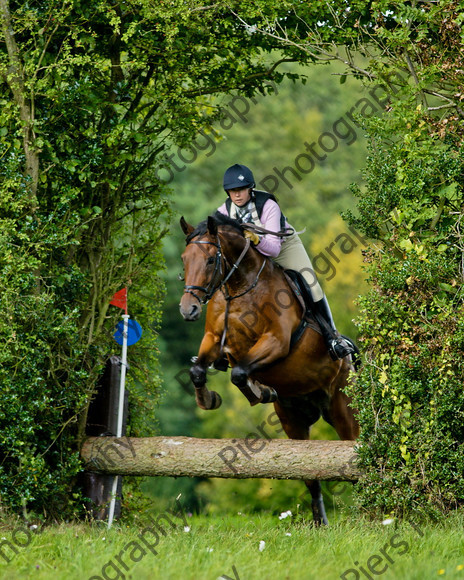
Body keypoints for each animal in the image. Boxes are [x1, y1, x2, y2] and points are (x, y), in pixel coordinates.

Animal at [178, 213, 358, 524]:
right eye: (184, 259)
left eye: (211, 260)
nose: (188, 309)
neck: (238, 287)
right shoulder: (213, 339)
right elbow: (199, 371)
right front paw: (210, 399)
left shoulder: (276, 341)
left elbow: (240, 372)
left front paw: (257, 391)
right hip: (293, 420)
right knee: (308, 475)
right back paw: (320, 523)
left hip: (343, 409)